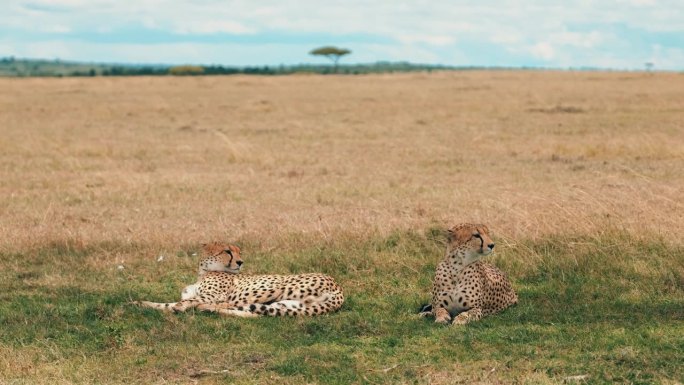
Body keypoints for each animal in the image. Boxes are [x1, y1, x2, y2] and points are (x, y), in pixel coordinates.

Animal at [135, 242, 348, 316]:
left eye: (239, 252)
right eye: (227, 251)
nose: (240, 262)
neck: (203, 272)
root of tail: (338, 287)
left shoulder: (215, 296)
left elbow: (182, 302)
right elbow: (168, 303)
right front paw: (139, 303)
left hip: (275, 287)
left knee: (236, 306)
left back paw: (205, 309)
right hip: (288, 304)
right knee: (257, 312)